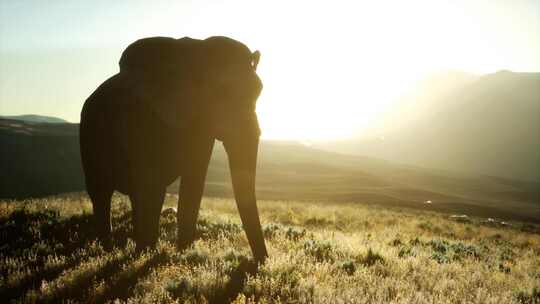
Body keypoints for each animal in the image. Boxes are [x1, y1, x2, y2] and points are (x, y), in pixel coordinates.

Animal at [79, 35, 268, 262]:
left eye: (259, 91)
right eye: (223, 92)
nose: (259, 262)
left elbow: (194, 178)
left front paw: (182, 253)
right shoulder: (140, 117)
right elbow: (151, 183)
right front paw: (148, 254)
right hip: (88, 135)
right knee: (103, 192)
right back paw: (110, 250)